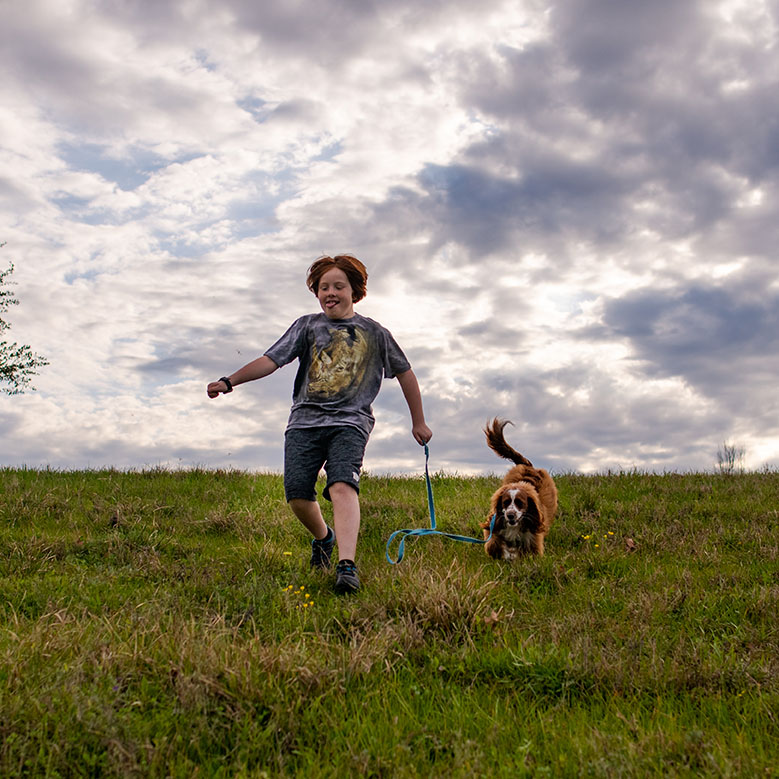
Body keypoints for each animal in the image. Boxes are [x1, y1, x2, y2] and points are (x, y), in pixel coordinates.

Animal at [478, 420, 556, 560]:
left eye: (520, 502)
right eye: (505, 502)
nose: (510, 515)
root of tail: (527, 465)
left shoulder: (534, 537)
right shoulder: (496, 525)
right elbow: (493, 543)